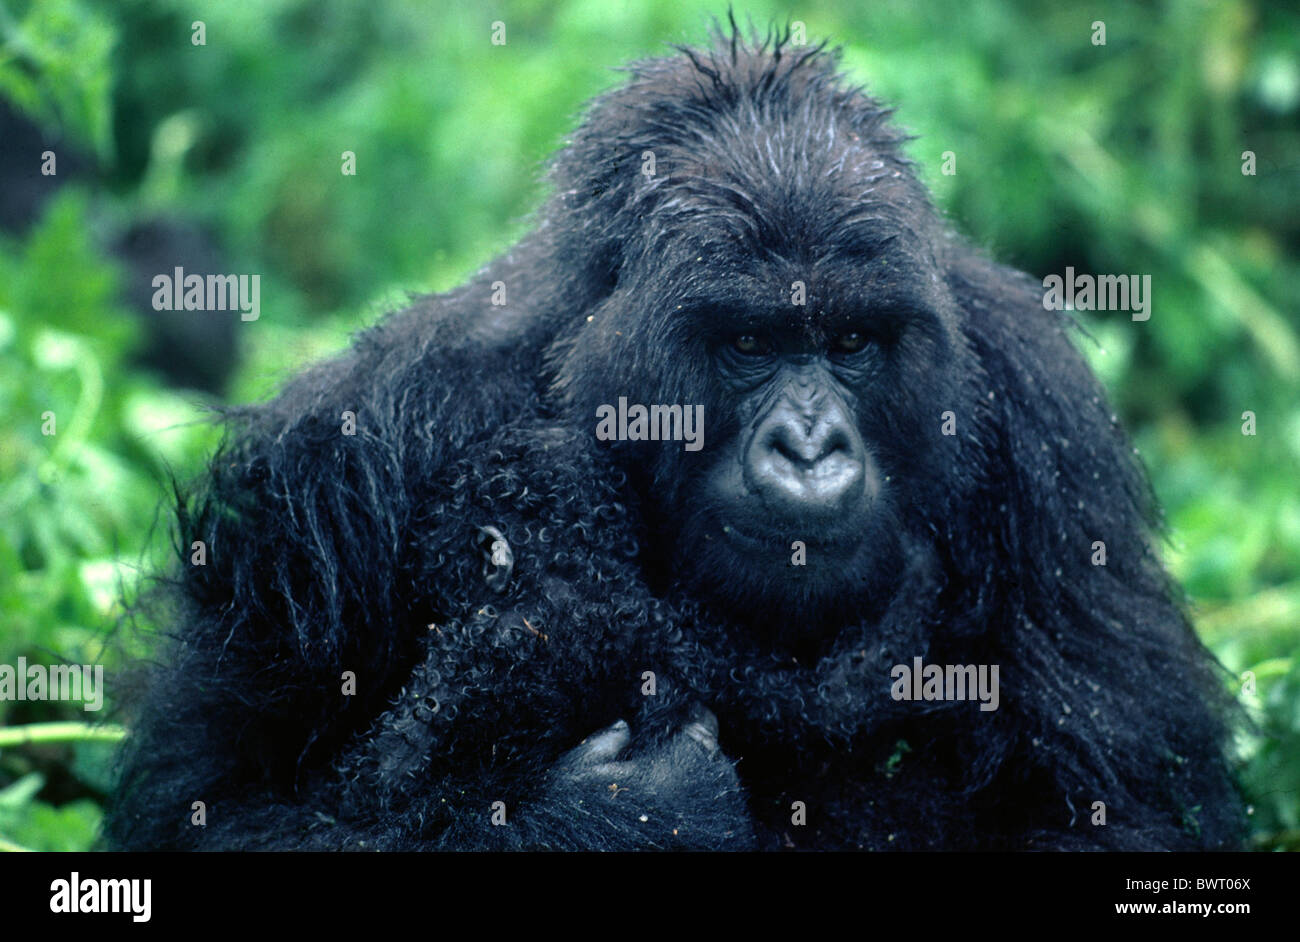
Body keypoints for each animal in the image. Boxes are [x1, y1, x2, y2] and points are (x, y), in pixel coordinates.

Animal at [106, 27, 1242, 852]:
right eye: (748, 342)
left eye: (850, 342)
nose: (810, 447)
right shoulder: (338, 464)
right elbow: (219, 804)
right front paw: (626, 817)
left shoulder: (1050, 422)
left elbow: (1118, 811)